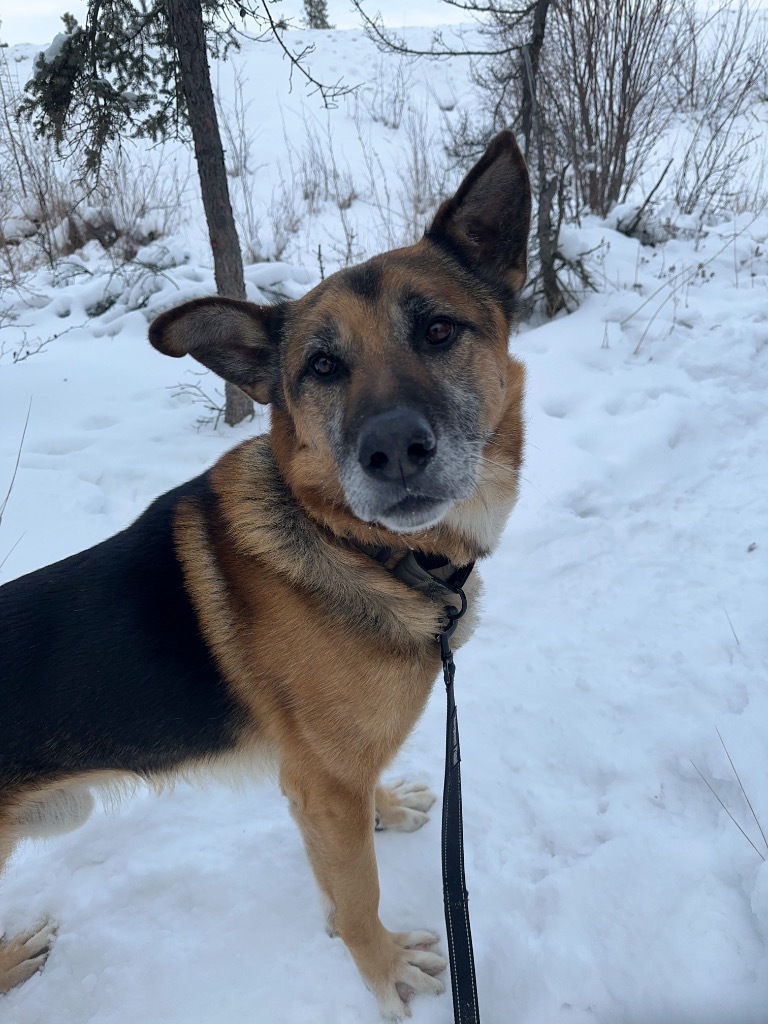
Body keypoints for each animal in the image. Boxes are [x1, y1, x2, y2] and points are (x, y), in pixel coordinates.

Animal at [0, 132, 528, 1019]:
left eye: (437, 329)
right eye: (321, 366)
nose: (392, 451)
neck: (354, 544)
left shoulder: (327, 780)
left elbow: (355, 831)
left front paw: (389, 811)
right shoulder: (323, 786)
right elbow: (358, 897)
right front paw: (384, 968)